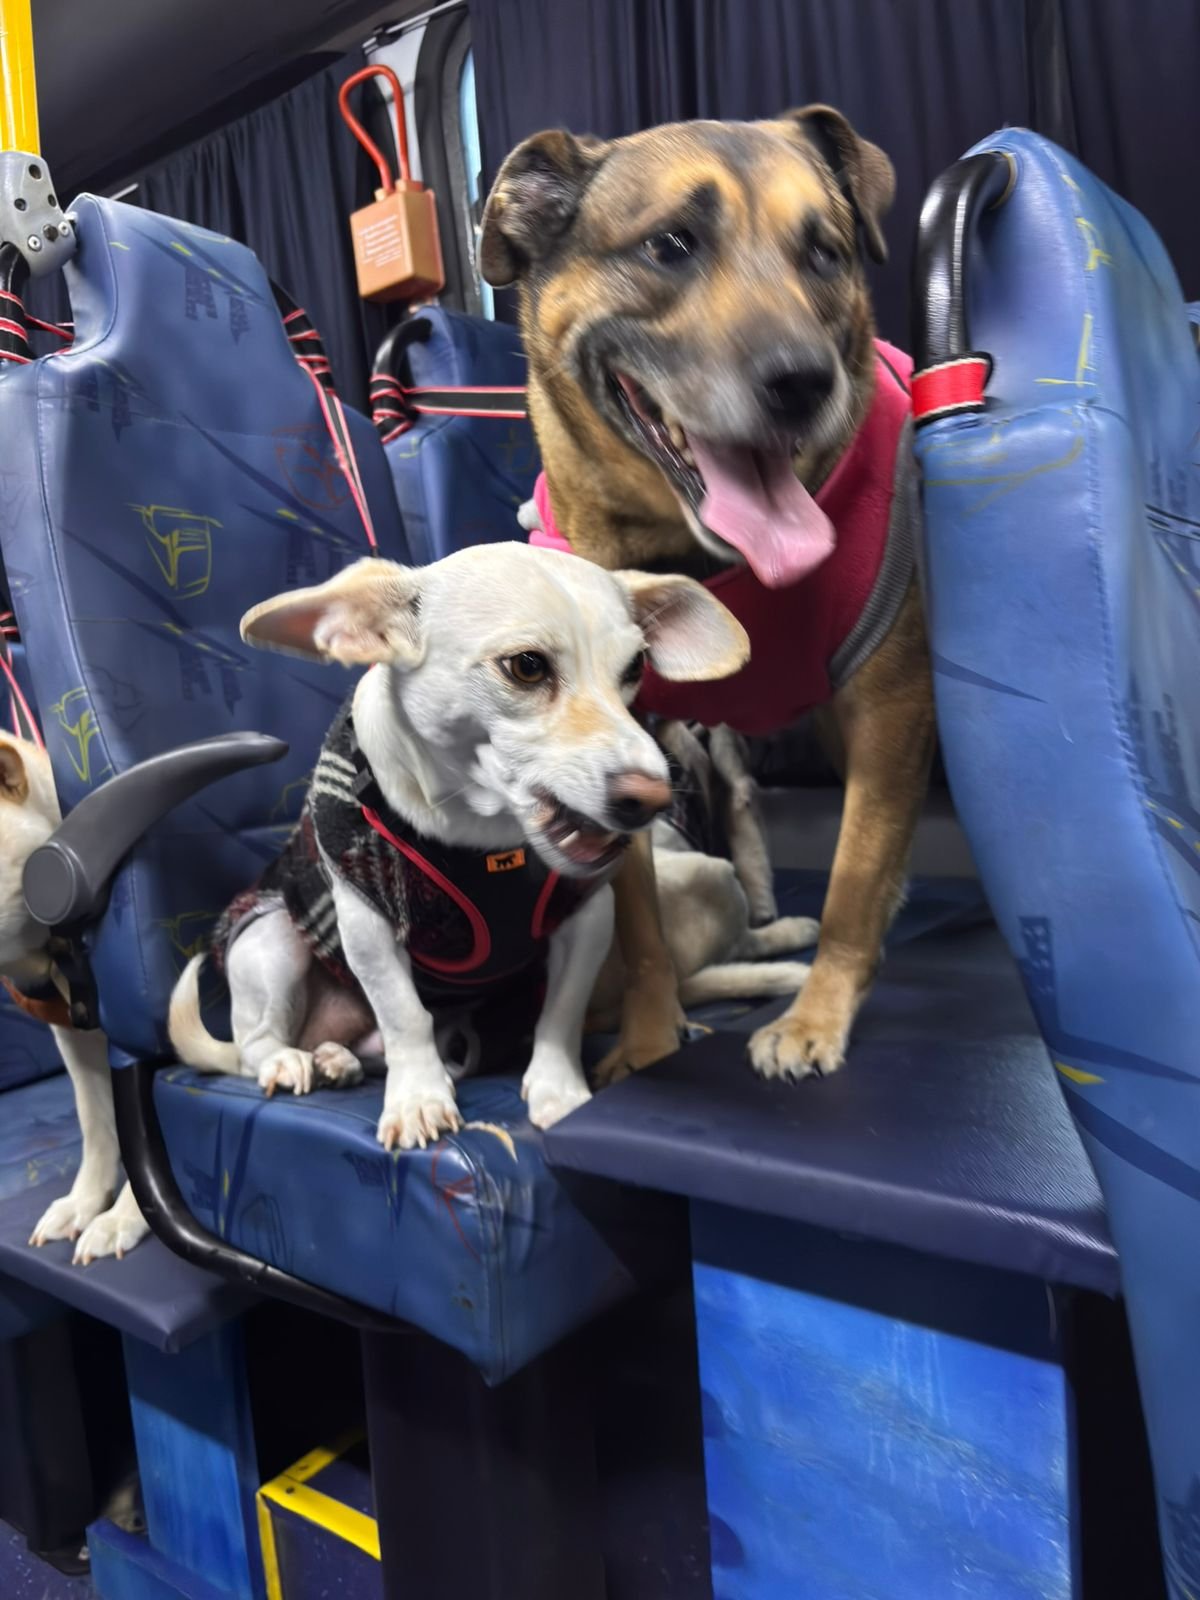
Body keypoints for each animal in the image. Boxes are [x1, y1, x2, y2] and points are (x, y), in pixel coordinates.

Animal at [167, 544, 827, 1147]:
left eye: (635, 667)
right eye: (527, 667)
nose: (653, 799)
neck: (484, 839)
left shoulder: (587, 917)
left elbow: (561, 1011)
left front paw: (560, 1091)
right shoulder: (366, 924)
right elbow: (404, 1015)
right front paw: (418, 1099)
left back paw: (338, 1058)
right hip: (270, 936)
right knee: (255, 1044)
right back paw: (291, 1060)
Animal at [481, 105, 936, 1084]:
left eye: (826, 252)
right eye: (670, 245)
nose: (804, 381)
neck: (701, 562)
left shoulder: (890, 709)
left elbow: (853, 880)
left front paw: (818, 1015)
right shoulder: (624, 745)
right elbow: (642, 925)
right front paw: (652, 1038)